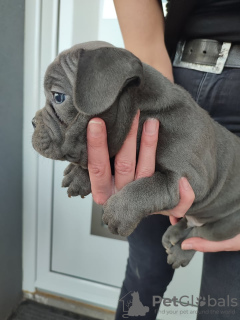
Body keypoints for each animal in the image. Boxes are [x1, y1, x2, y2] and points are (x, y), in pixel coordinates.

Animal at [31, 42, 240, 268]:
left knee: (200, 234)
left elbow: (153, 185)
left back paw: (180, 251)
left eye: (58, 97)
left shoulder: (191, 180)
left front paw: (119, 212)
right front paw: (78, 175)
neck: (144, 111)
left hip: (226, 224)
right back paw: (173, 234)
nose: (32, 122)